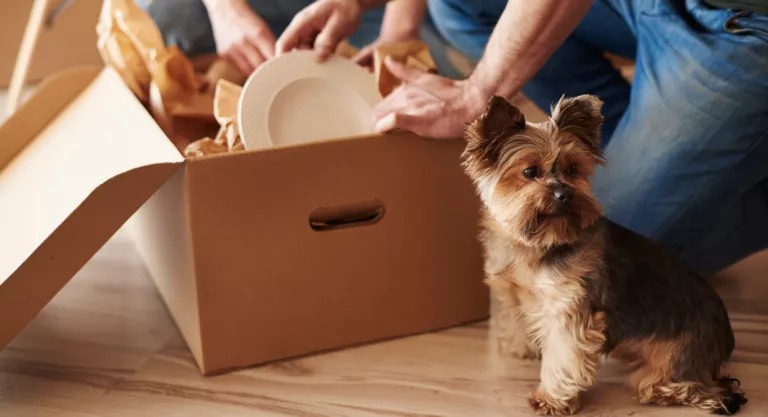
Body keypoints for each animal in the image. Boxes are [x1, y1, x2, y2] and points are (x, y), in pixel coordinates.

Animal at [460, 95, 748, 416]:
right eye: (530, 172)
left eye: (573, 169)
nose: (565, 194)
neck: (541, 242)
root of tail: (726, 335)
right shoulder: (516, 292)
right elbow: (519, 317)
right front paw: (523, 348)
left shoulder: (570, 307)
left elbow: (563, 355)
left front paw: (551, 398)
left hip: (679, 353)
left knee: (687, 387)